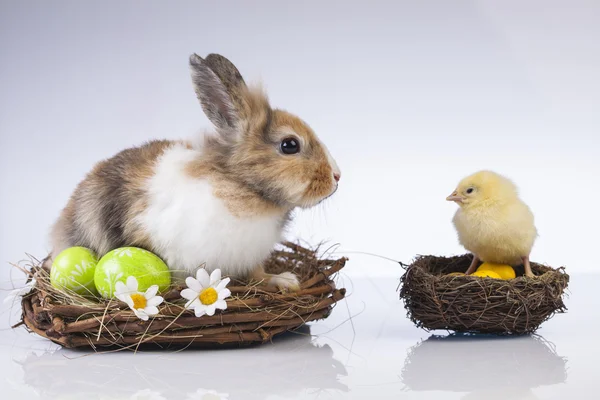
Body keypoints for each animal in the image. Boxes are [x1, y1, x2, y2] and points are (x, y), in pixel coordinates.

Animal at [48, 52, 340, 290]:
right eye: (290, 145)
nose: (337, 177)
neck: (241, 185)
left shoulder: (249, 257)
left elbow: (258, 275)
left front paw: (284, 280)